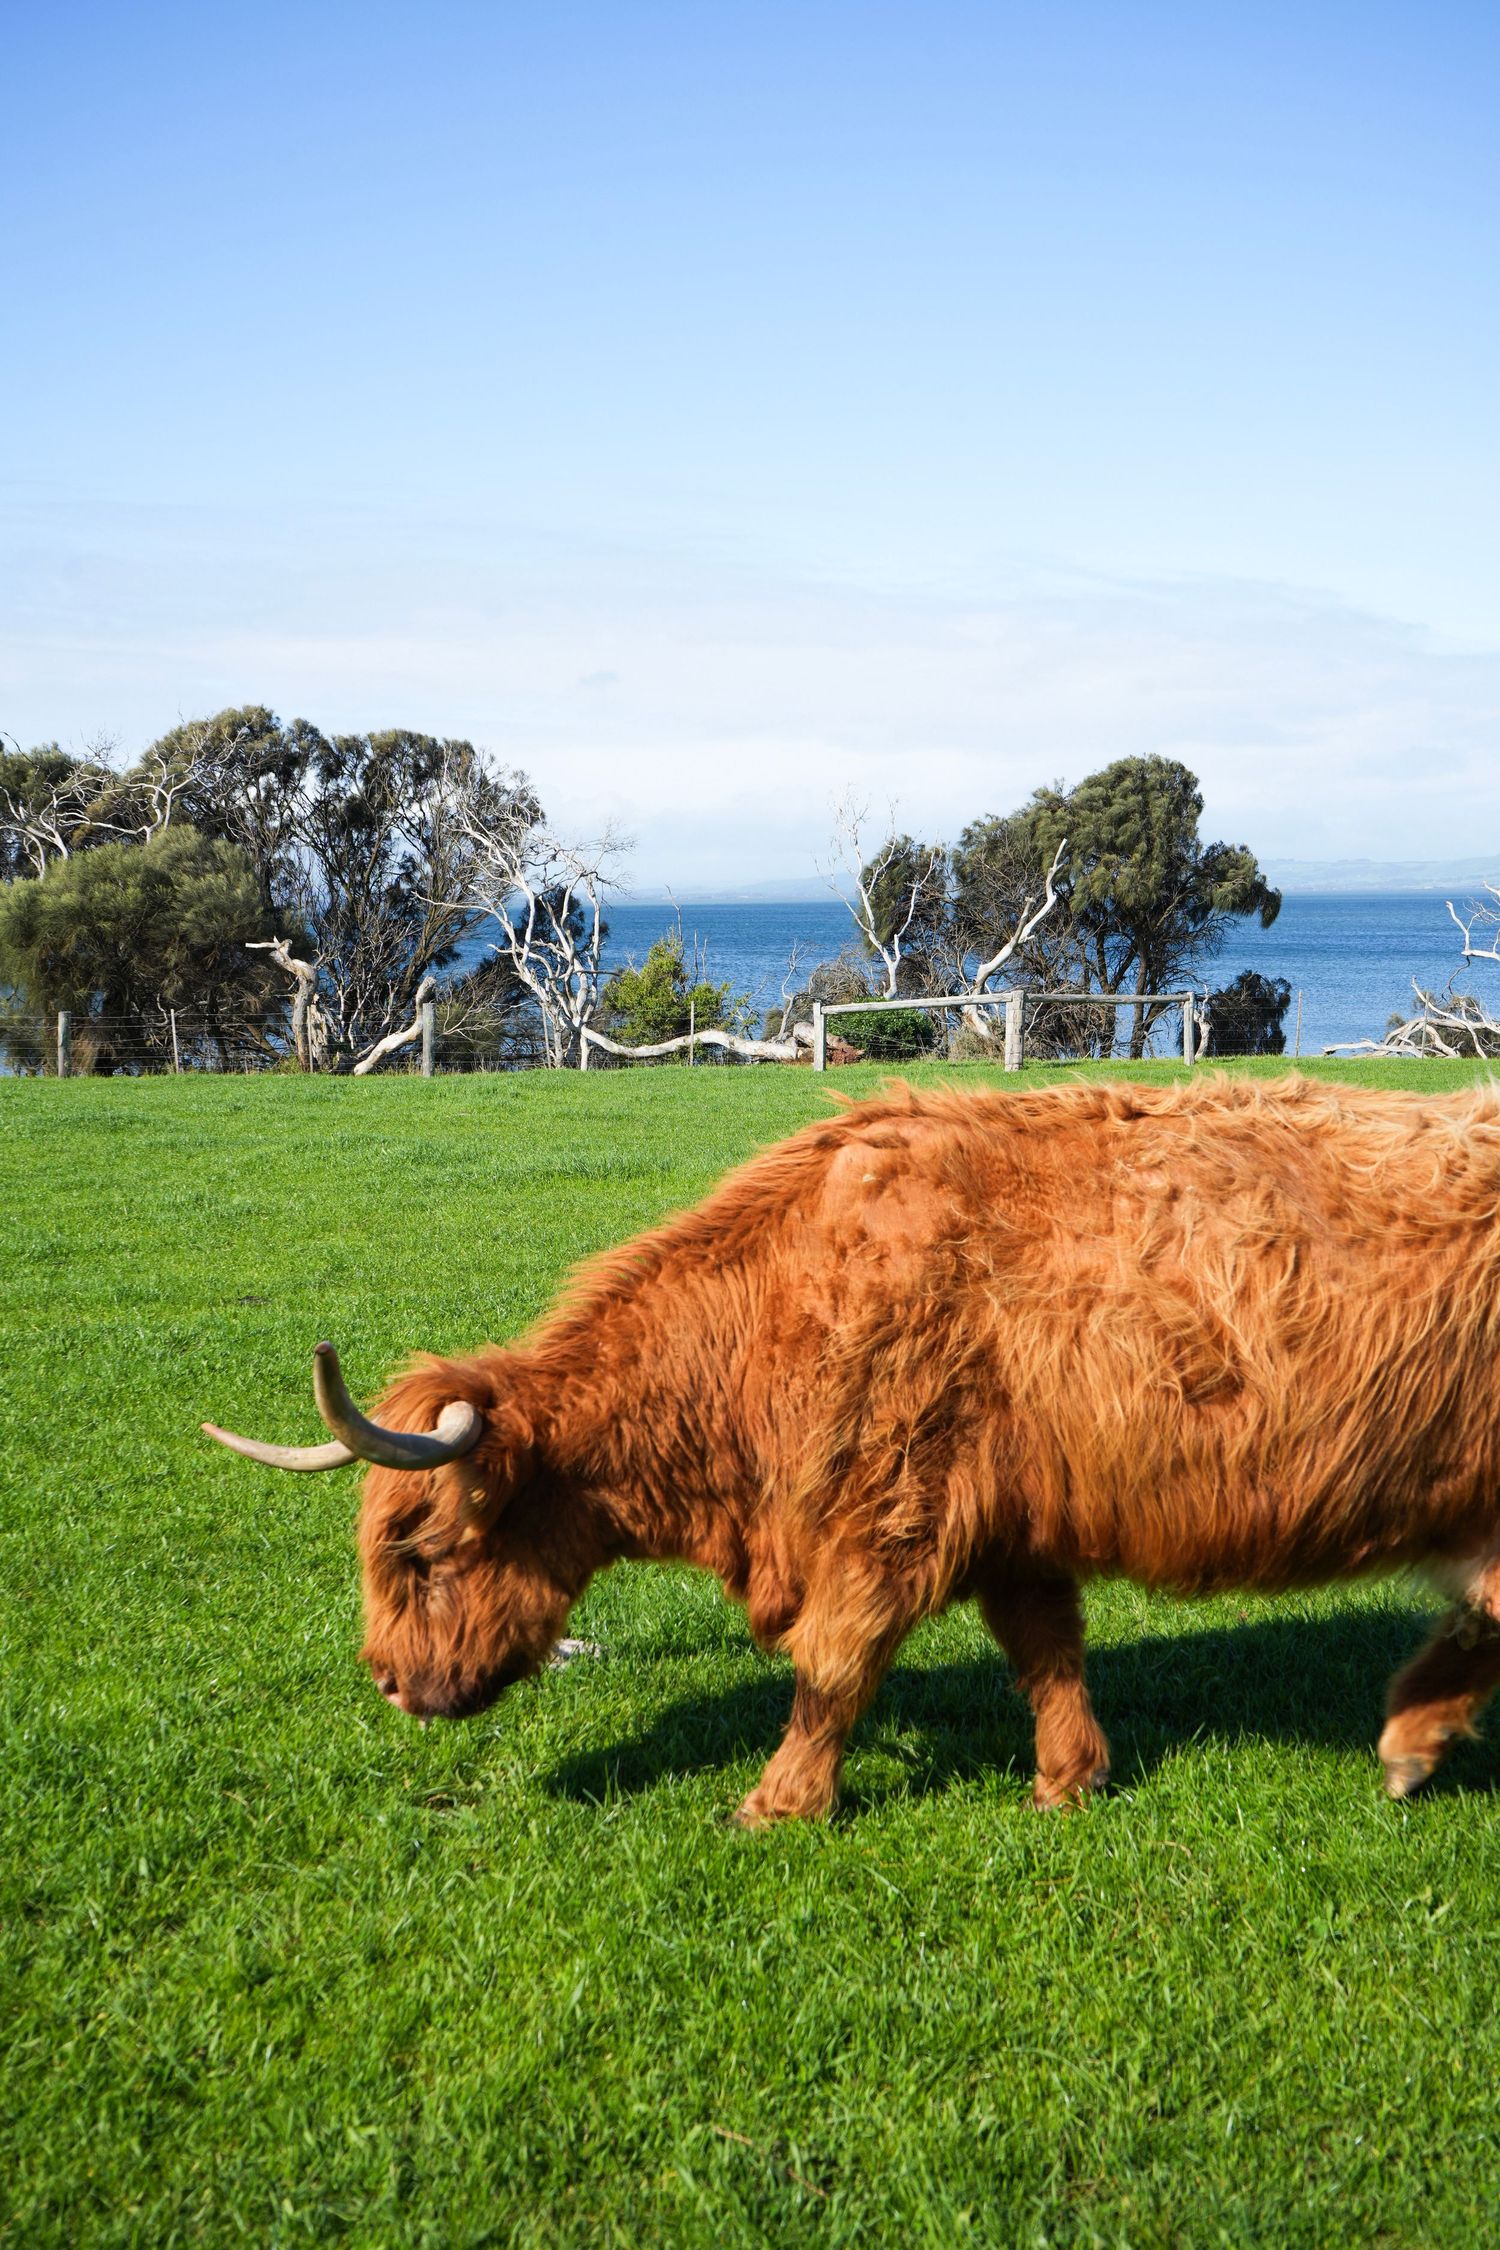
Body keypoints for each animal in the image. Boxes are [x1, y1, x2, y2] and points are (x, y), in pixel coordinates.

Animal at [205, 1073, 1500, 1824]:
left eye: (420, 1553)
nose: (389, 1683)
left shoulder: (892, 1511)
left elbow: (833, 1665)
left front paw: (778, 1804)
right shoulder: (1008, 1518)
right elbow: (1047, 1651)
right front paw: (1068, 1781)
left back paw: (1410, 1737)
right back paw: (1413, 1737)